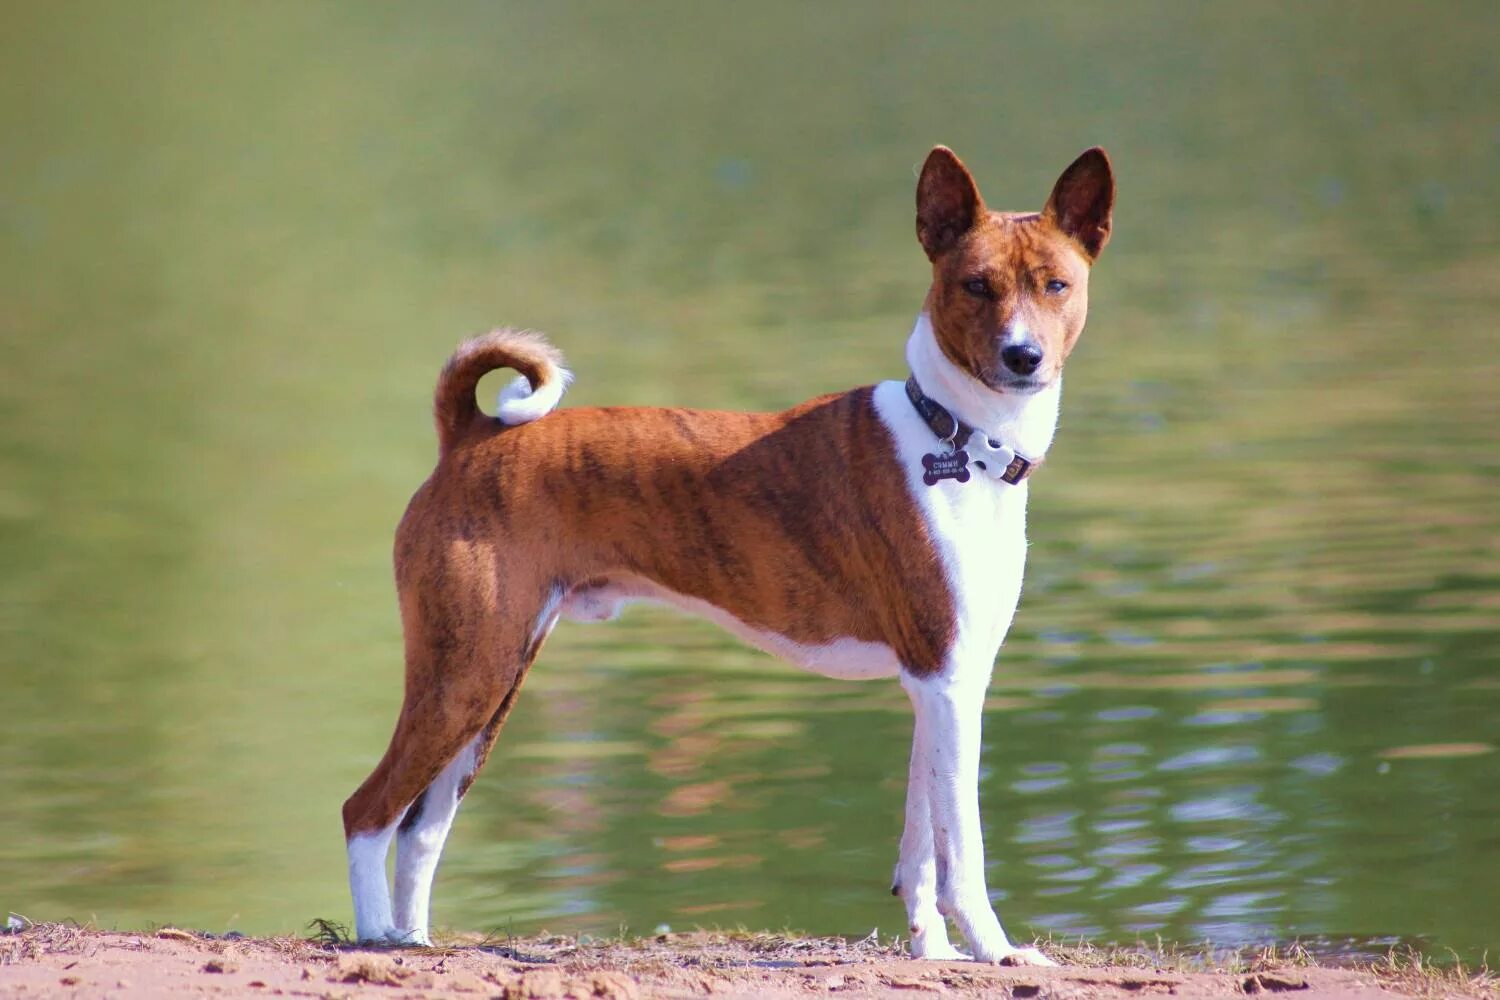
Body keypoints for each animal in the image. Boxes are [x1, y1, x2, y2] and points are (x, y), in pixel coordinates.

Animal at [343, 144, 1116, 965]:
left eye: (1056, 285)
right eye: (976, 285)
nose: (1023, 356)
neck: (957, 439)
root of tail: (470, 437)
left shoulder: (937, 684)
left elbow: (920, 851)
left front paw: (932, 952)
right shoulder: (949, 681)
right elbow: (962, 852)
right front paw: (996, 952)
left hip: (490, 683)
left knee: (423, 828)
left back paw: (411, 942)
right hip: (465, 672)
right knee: (368, 811)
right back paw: (372, 939)